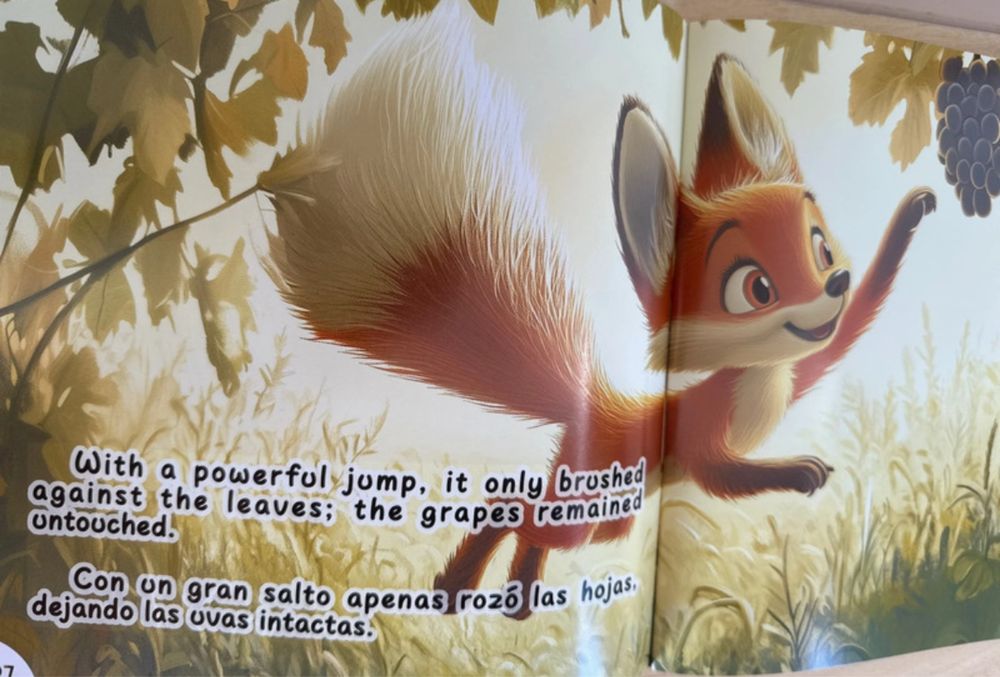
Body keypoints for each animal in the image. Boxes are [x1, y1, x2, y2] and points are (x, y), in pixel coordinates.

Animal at [263, 9, 936, 619]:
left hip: (610, 516)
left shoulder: (803, 366)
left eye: (821, 248)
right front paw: (800, 471)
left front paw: (911, 215)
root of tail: (600, 409)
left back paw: (517, 599)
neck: (759, 384)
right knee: (514, 511)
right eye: (755, 287)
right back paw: (462, 588)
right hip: (591, 511)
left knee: (533, 526)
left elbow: (843, 334)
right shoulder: (704, 443)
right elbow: (726, 476)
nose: (836, 281)